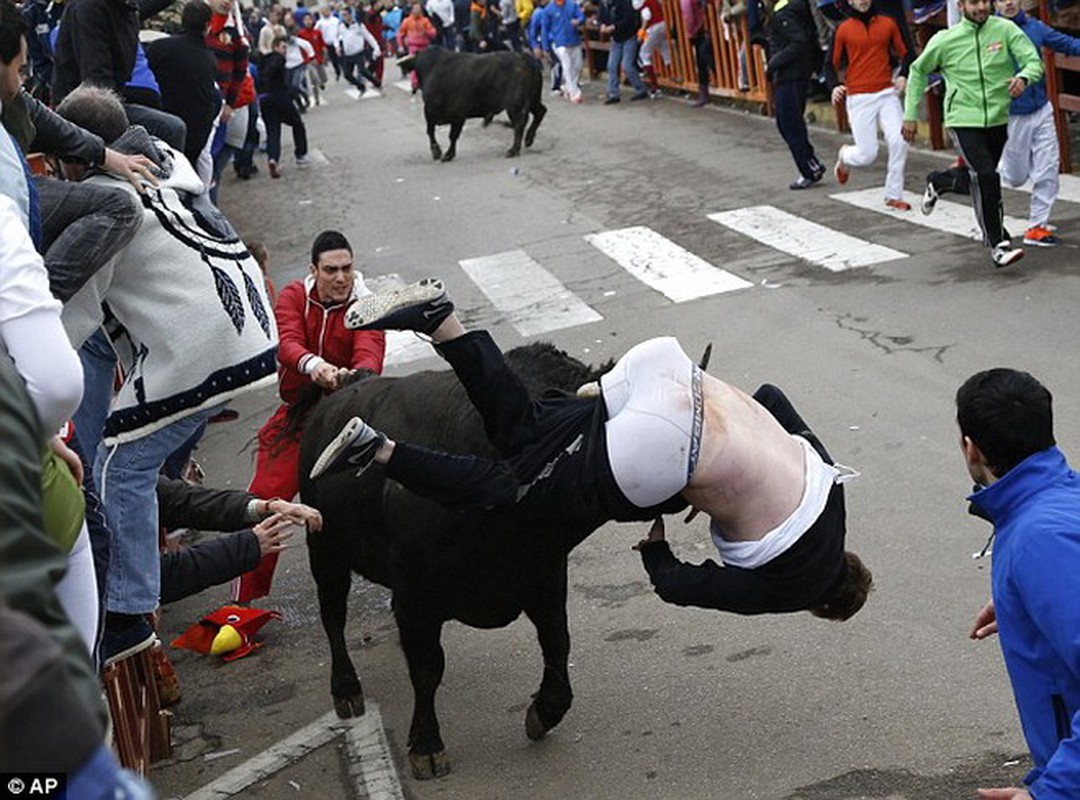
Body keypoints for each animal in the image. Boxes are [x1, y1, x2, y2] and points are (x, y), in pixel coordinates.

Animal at [295, 341, 617, 777]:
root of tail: (343, 388)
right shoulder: (413, 597)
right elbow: (427, 667)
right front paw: (426, 747)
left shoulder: (545, 575)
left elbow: (557, 642)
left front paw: (545, 711)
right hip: (324, 551)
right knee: (332, 616)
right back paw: (346, 689)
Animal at [412, 46, 548, 161]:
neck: (432, 70)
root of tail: (525, 58)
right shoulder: (450, 116)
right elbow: (443, 134)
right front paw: (446, 154)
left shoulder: (445, 114)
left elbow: (441, 133)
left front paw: (441, 153)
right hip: (533, 100)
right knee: (540, 112)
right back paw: (528, 139)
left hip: (515, 106)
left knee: (519, 124)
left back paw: (513, 150)